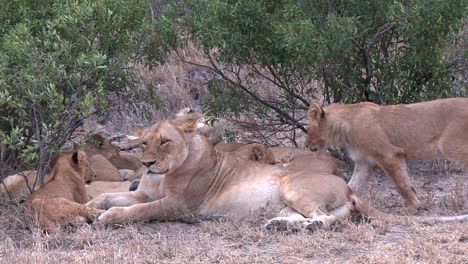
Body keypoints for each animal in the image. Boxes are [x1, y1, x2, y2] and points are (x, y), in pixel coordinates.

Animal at [88, 115, 468, 229]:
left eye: (165, 142)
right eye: (144, 143)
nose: (147, 164)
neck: (162, 175)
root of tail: (347, 186)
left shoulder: (179, 205)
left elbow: (138, 210)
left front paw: (108, 218)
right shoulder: (141, 190)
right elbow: (111, 196)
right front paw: (91, 208)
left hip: (292, 186)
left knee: (326, 220)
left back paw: (303, 228)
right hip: (291, 199)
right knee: (329, 217)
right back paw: (279, 224)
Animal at [308, 98, 468, 213]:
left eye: (308, 129)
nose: (306, 146)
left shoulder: (389, 154)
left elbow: (401, 184)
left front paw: (413, 207)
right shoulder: (365, 162)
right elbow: (352, 185)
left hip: (450, 145)